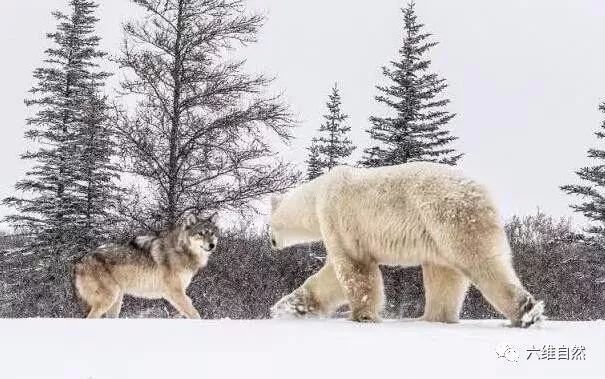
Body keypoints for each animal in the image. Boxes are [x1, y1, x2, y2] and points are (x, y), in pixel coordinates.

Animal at [268, 162, 544, 328]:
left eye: (269, 223)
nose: (270, 242)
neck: (317, 195)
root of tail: (483, 193)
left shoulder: (338, 219)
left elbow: (354, 270)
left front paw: (363, 316)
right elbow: (330, 277)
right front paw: (288, 307)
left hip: (450, 218)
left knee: (480, 262)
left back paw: (526, 311)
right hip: (437, 234)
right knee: (444, 275)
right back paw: (431, 318)